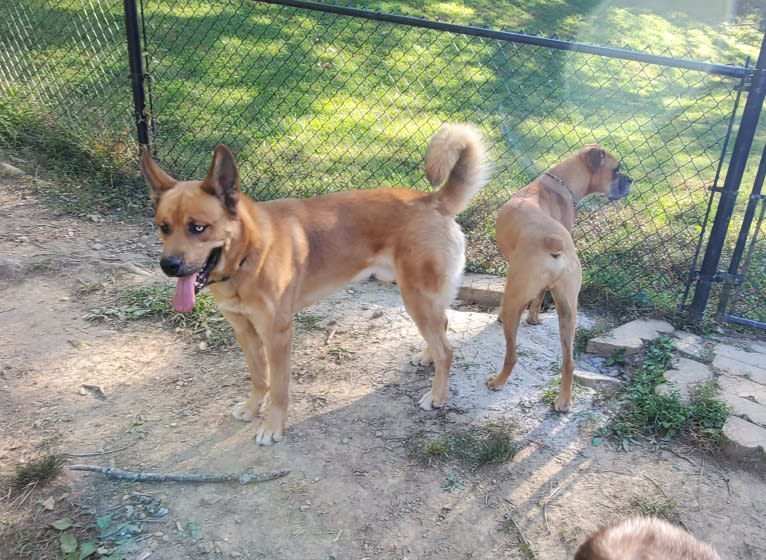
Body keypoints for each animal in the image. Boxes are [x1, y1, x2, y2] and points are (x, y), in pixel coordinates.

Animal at [140, 124, 488, 444]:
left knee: (447, 350)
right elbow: (259, 377)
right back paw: (427, 357)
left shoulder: (277, 335)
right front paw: (253, 408)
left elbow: (279, 387)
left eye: (199, 228)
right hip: (422, 298)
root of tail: (434, 200)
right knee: (443, 328)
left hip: (416, 297)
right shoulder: (244, 330)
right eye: (164, 227)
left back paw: (437, 395)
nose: (168, 266)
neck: (248, 254)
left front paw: (272, 427)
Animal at [488, 144, 632, 412]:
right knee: (569, 361)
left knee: (512, 355)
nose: (631, 180)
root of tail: (554, 240)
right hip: (568, 311)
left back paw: (498, 381)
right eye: (616, 169)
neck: (558, 184)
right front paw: (534, 318)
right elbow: (538, 296)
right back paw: (564, 401)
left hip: (517, 303)